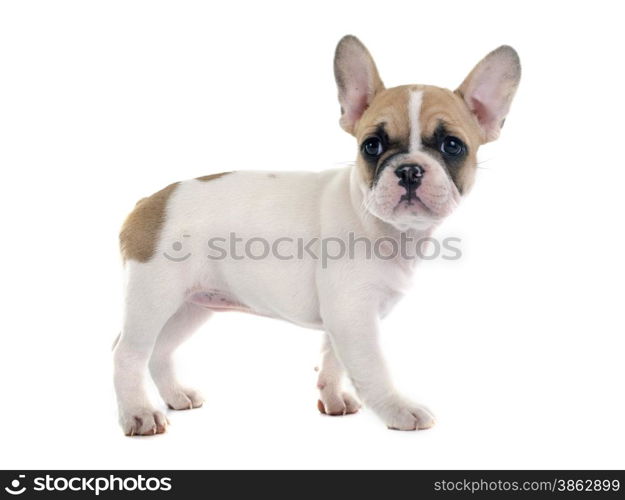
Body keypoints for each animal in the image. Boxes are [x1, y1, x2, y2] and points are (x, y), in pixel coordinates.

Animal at [114, 35, 520, 436]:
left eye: (452, 145)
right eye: (371, 146)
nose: (408, 170)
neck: (378, 222)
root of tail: (149, 202)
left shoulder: (341, 317)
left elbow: (332, 358)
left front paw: (333, 398)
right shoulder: (354, 315)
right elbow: (372, 368)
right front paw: (398, 409)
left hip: (190, 305)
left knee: (160, 350)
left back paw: (175, 395)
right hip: (154, 297)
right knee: (127, 352)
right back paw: (138, 413)